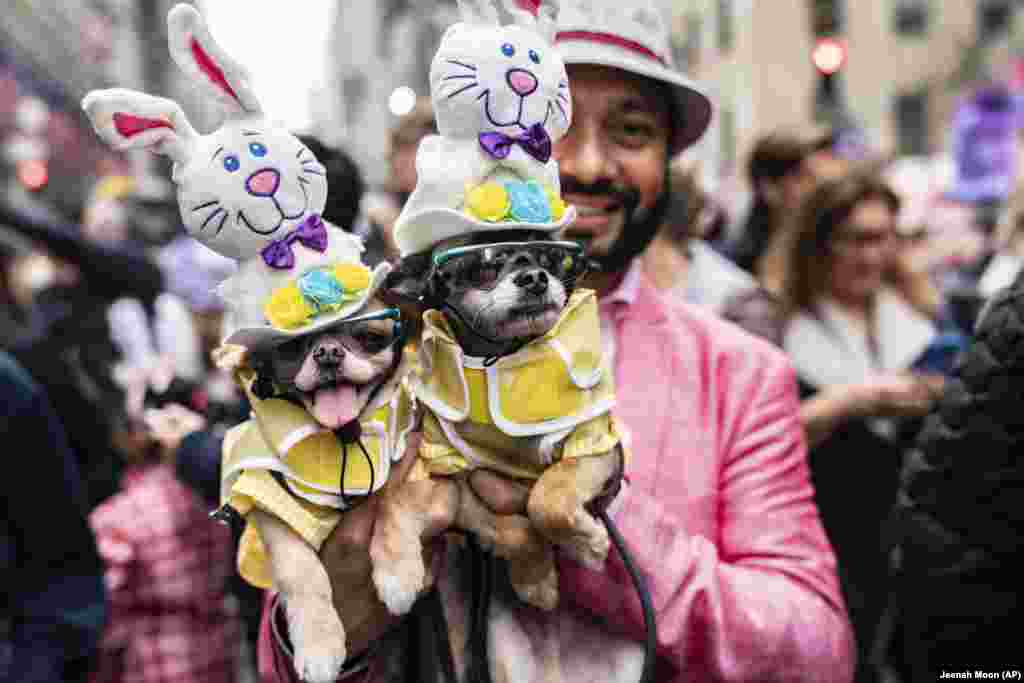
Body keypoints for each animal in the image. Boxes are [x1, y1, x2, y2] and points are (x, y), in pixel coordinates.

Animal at [372, 229, 618, 614]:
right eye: (482, 266)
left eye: (546, 256)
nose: (534, 277)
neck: (502, 357)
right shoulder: (455, 478)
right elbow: (517, 531)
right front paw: (536, 580)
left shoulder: (594, 444)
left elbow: (547, 499)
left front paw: (585, 545)